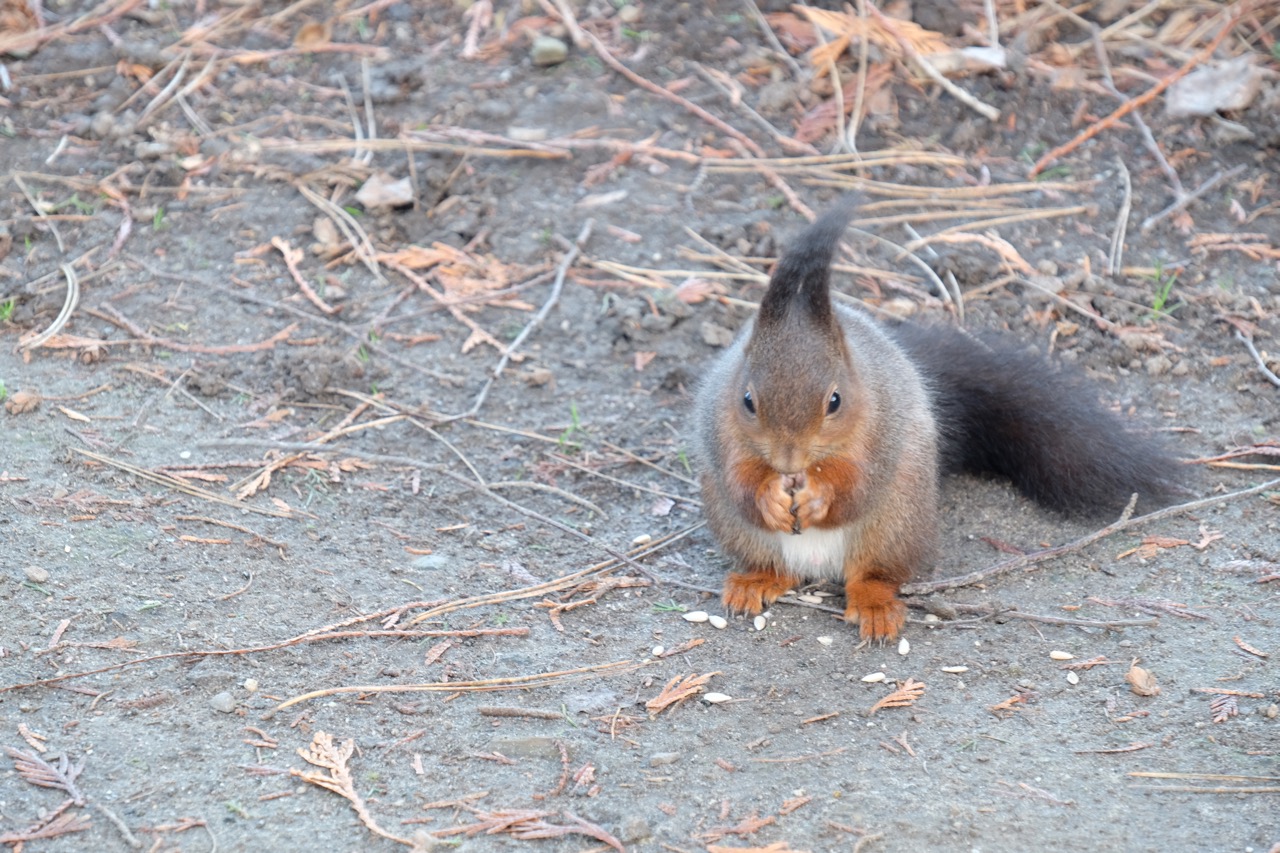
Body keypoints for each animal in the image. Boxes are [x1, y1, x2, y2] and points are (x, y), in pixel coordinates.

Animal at [693, 203, 1181, 642]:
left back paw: (875, 607)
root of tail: (817, 566)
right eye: (747, 400)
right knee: (778, 566)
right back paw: (756, 581)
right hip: (740, 531)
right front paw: (768, 495)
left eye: (835, 400)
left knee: (874, 575)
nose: (789, 461)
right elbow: (738, 478)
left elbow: (859, 483)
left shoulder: (883, 428)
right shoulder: (719, 429)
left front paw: (819, 497)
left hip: (896, 524)